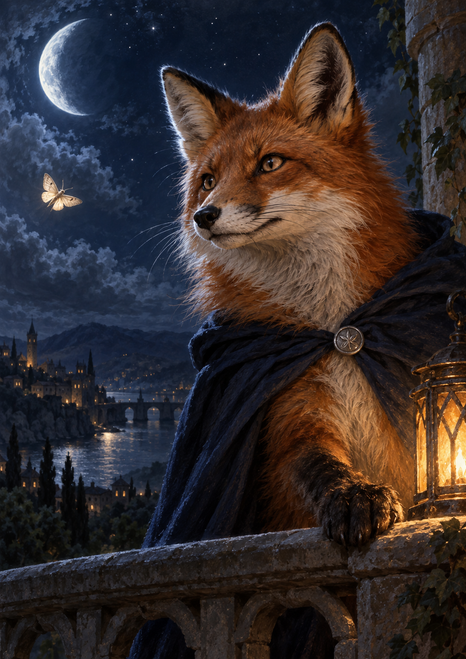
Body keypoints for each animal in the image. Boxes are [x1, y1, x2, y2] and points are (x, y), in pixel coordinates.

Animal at [161, 23, 418, 548]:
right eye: (208, 180)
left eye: (270, 163)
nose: (204, 216)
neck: (333, 330)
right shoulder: (292, 414)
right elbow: (317, 466)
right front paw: (355, 495)